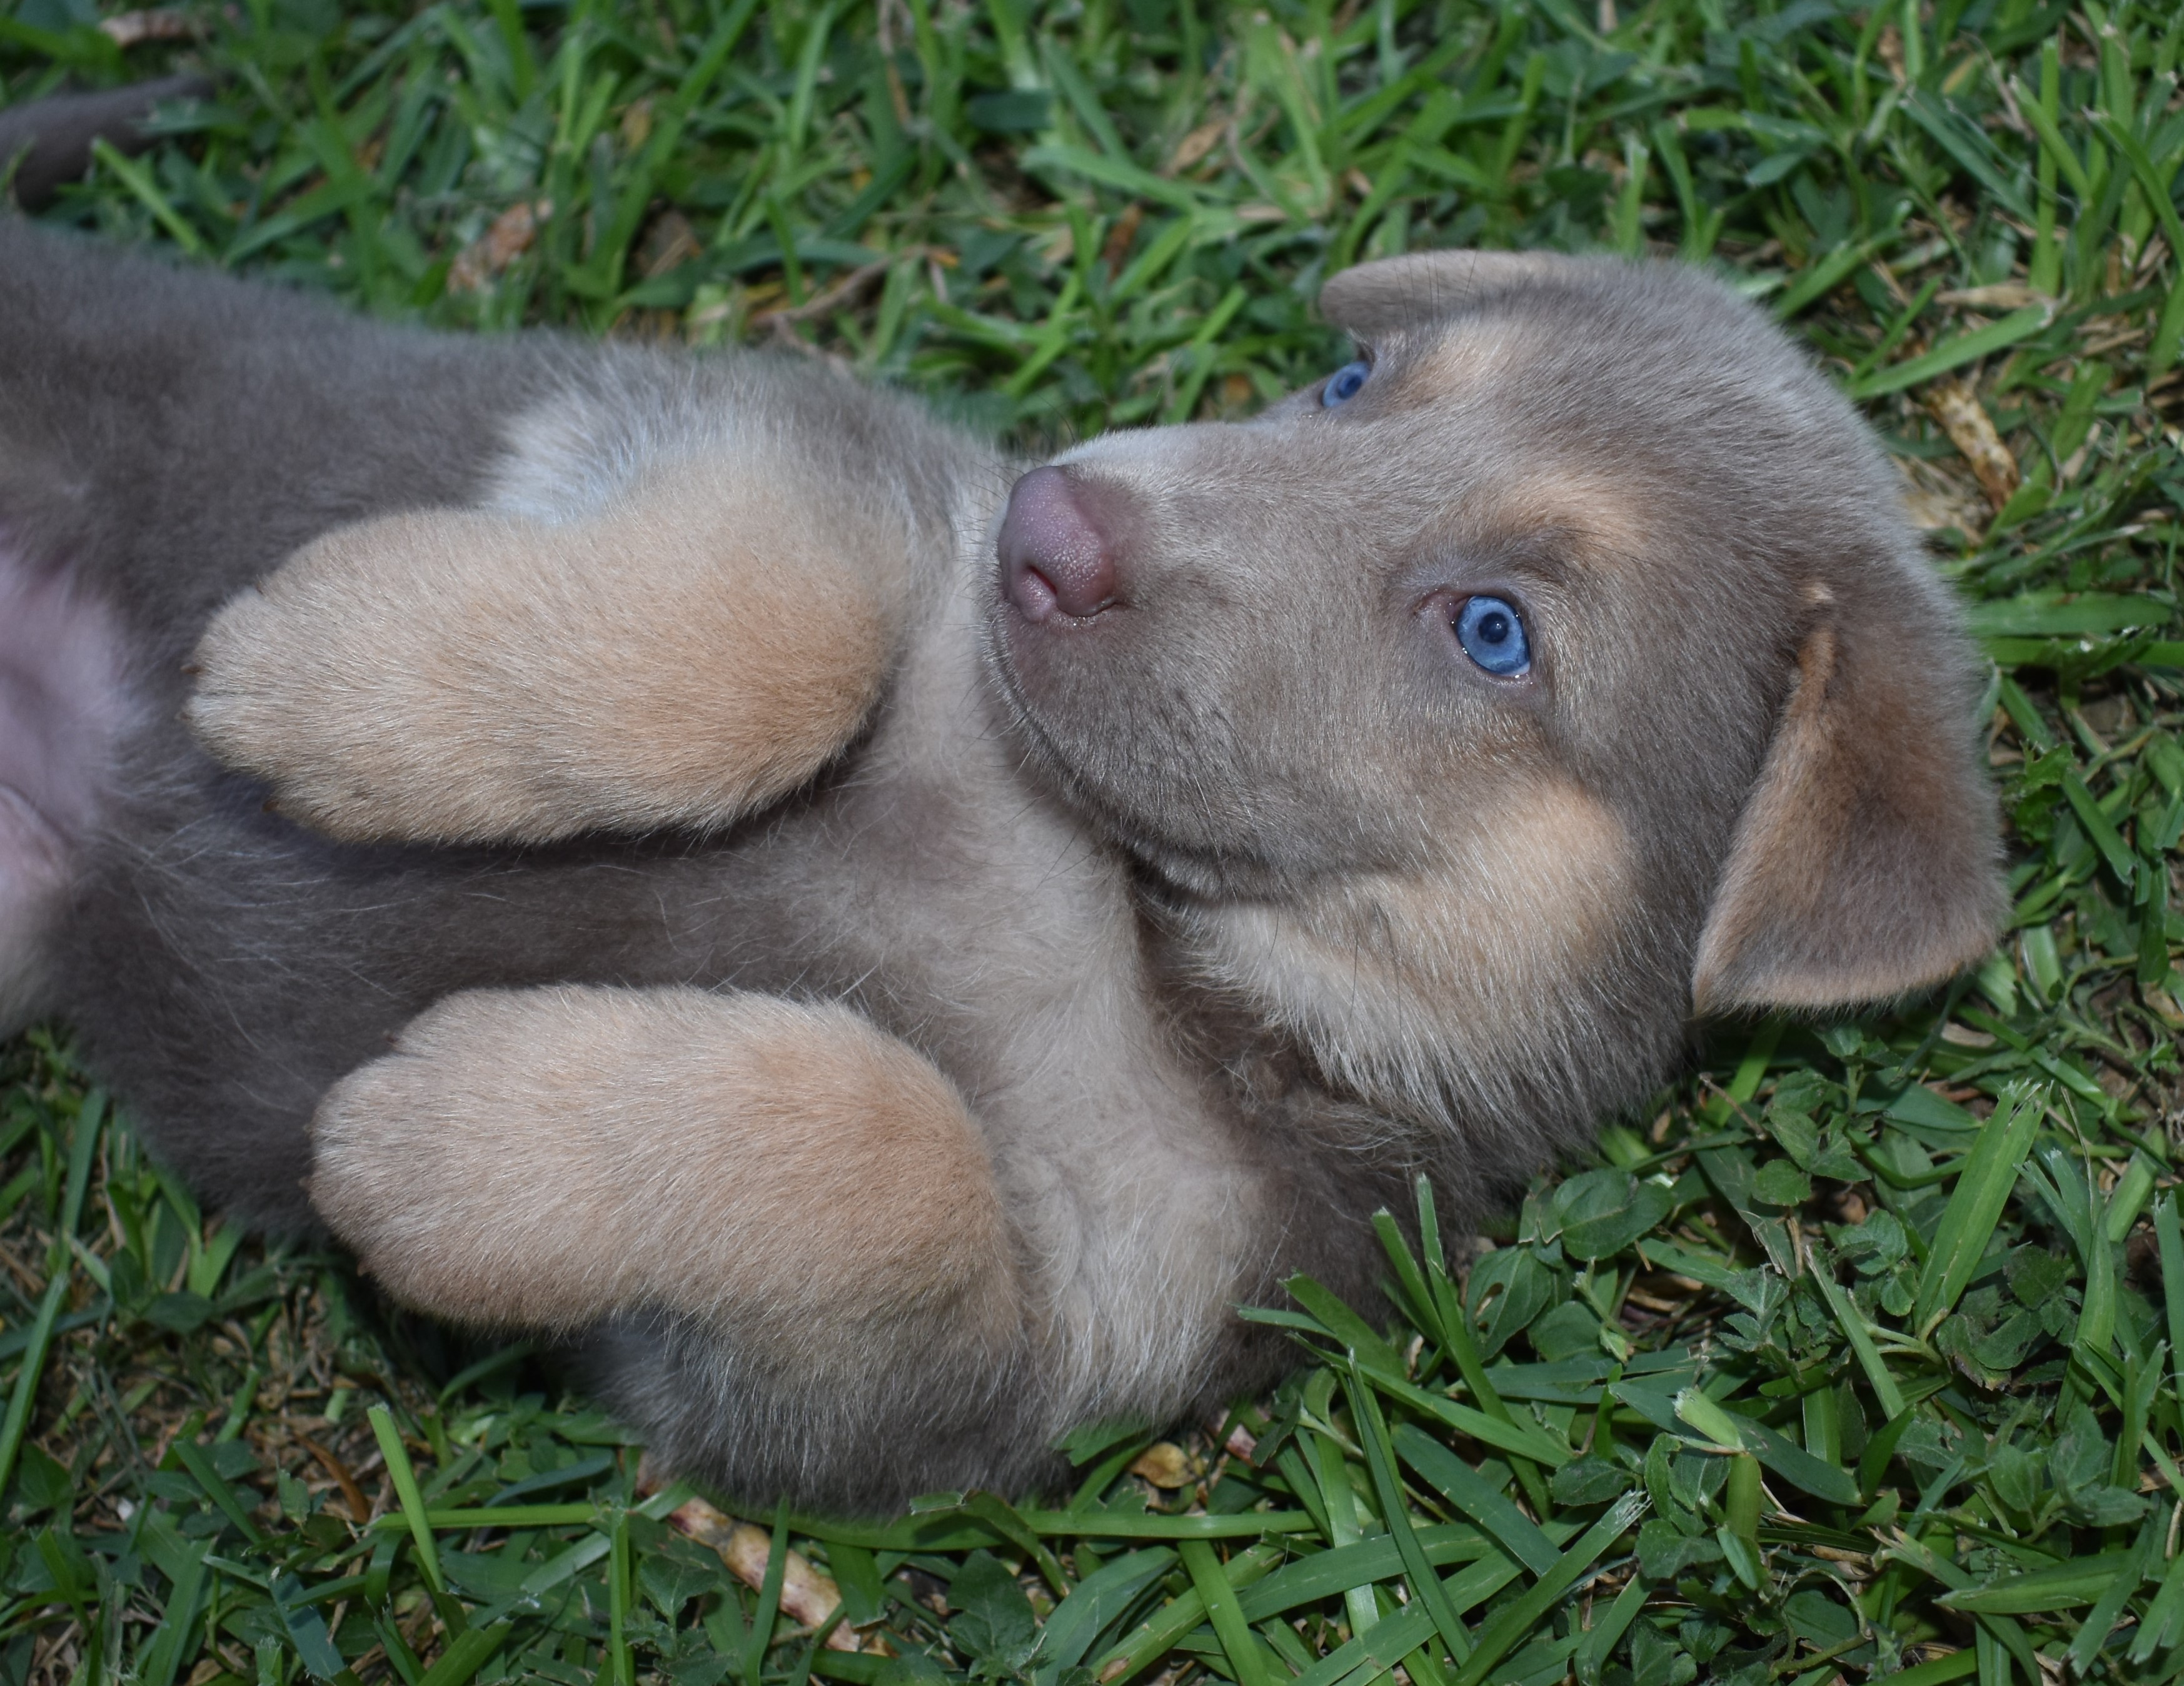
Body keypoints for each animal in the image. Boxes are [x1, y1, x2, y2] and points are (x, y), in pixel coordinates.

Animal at [0, 207, 2000, 1502]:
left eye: (1494, 633)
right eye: (1351, 382)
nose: (1050, 528)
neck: (1147, 943)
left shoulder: (949, 1382)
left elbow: (900, 1148)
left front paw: (451, 1144)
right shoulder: (819, 465)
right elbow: (781, 629)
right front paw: (327, 681)